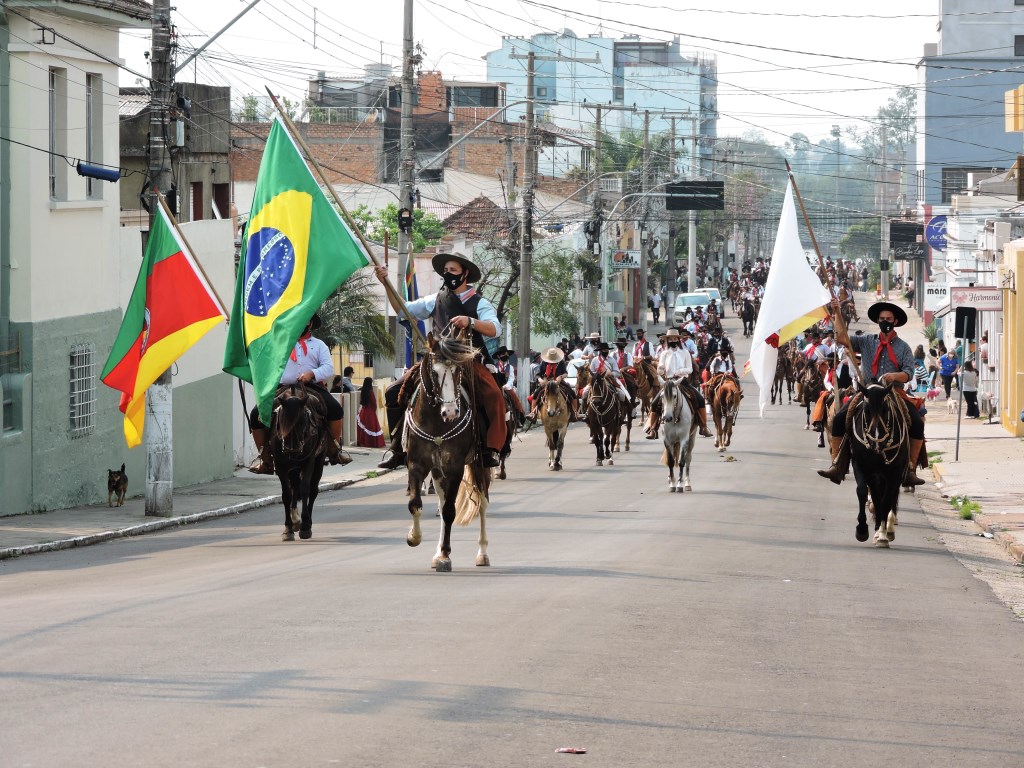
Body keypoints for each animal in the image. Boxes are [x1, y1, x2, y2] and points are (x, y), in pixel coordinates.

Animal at [268, 382, 327, 540]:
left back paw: (306, 522)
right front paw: (288, 528)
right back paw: (295, 519)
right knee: (294, 486)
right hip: (292, 468)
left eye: (302, 421)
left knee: (313, 490)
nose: (292, 450)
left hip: (318, 462)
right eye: (282, 421)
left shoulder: (308, 462)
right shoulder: (280, 465)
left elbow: (305, 489)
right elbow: (286, 494)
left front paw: (305, 526)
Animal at [843, 382, 909, 548]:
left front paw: (883, 536)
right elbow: (862, 492)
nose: (877, 442)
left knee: (890, 498)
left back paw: (887, 529)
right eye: (866, 410)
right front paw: (862, 529)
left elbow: (885, 501)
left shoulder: (894, 472)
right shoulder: (861, 466)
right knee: (876, 496)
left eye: (885, 410)